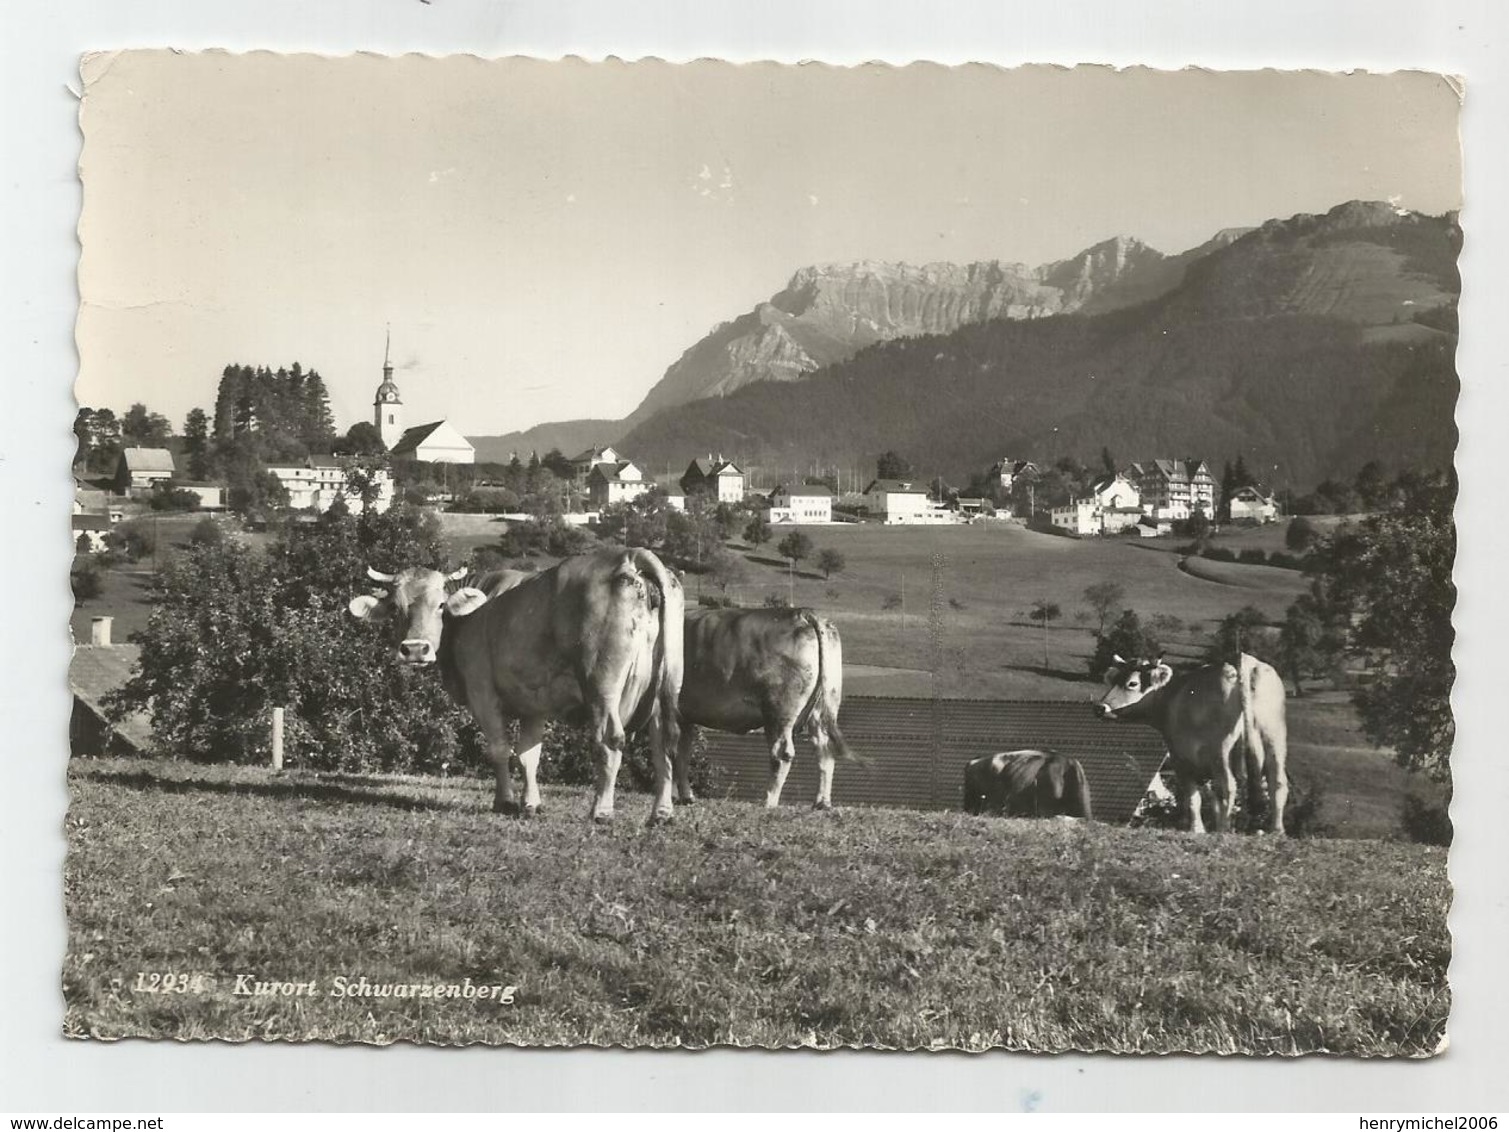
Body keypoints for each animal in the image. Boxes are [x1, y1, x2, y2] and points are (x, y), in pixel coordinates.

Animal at [347, 546, 685, 827]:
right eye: (395, 607)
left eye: (440, 604)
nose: (415, 649)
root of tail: (629, 556)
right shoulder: (533, 703)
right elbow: (528, 754)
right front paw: (531, 803)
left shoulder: (482, 691)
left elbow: (499, 748)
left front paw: (506, 801)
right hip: (665, 686)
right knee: (663, 744)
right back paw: (662, 812)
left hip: (602, 686)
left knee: (610, 740)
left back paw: (601, 810)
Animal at [679, 606, 857, 809]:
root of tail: (802, 614)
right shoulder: (684, 716)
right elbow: (682, 754)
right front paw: (686, 797)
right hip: (824, 706)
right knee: (824, 749)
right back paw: (821, 802)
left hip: (779, 709)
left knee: (782, 752)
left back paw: (769, 801)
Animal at [1092, 652, 1291, 839]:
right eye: (1114, 680)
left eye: (1132, 683)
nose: (1100, 708)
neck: (1172, 696)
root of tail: (1240, 659)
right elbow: (1212, 798)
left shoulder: (1181, 759)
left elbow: (1193, 797)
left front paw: (1197, 829)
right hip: (1274, 738)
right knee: (1277, 782)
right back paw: (1276, 830)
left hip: (1220, 750)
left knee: (1228, 786)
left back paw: (1223, 829)